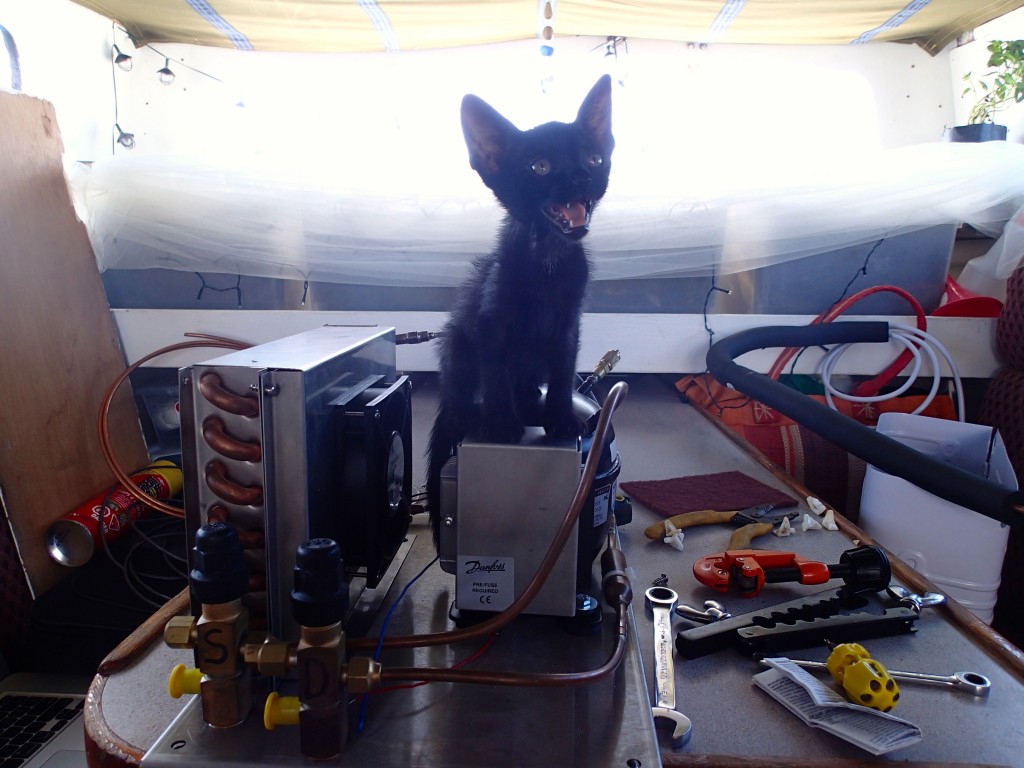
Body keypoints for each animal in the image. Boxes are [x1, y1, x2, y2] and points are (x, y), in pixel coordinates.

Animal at [425, 75, 610, 540]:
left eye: (594, 158)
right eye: (539, 167)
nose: (582, 175)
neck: (548, 259)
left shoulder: (568, 324)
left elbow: (562, 371)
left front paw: (560, 418)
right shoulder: (493, 322)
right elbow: (496, 373)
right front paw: (501, 423)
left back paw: (531, 402)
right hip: (456, 344)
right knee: (463, 396)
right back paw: (479, 412)